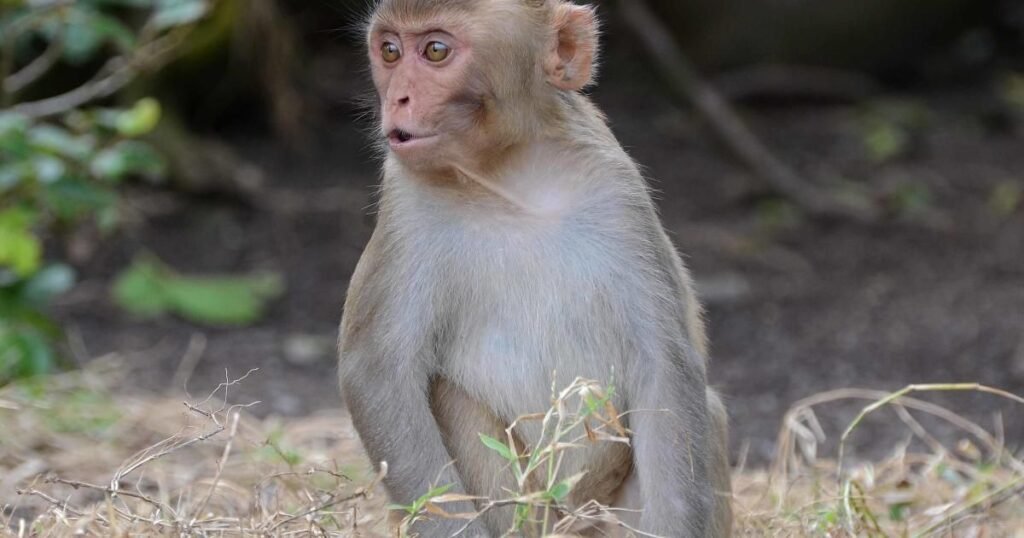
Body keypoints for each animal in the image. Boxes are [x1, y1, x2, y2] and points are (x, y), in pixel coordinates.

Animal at [338, 0, 732, 536]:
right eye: (390, 51)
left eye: (435, 51)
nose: (397, 98)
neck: (510, 180)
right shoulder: (405, 203)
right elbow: (376, 371)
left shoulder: (616, 190)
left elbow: (665, 366)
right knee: (451, 398)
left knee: (707, 411)